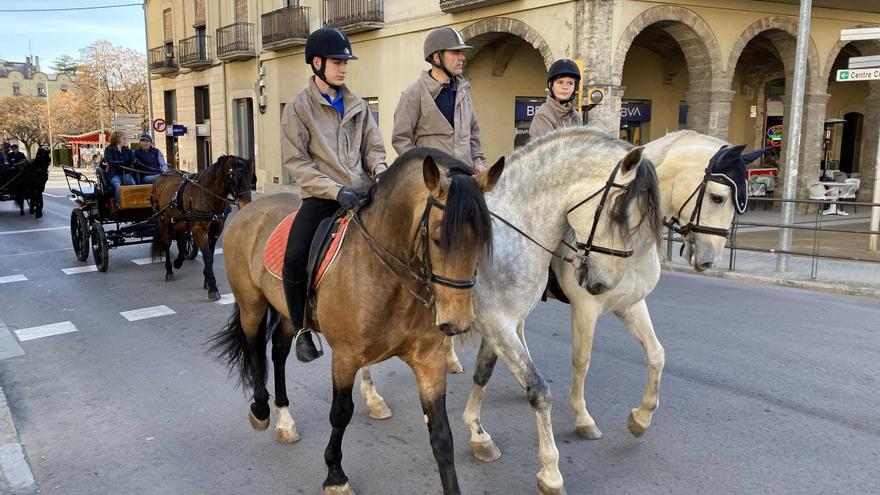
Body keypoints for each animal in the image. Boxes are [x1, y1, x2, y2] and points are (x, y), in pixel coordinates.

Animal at [150, 157, 253, 300]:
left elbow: (211, 255)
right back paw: (169, 271)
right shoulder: (198, 229)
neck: (208, 195)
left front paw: (207, 281)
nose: (247, 204)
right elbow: (207, 256)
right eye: (235, 178)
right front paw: (213, 288)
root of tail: (161, 176)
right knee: (167, 244)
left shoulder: (216, 230)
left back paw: (179, 261)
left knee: (181, 239)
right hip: (163, 222)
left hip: (180, 222)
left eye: (251, 177)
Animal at [210, 150, 506, 495]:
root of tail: (248, 210)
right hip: (252, 305)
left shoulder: (429, 361)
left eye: (484, 238)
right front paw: (335, 475)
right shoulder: (346, 357)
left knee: (279, 352)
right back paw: (261, 410)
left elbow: (441, 435)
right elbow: (341, 413)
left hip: (286, 311)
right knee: (255, 350)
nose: (456, 323)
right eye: (436, 239)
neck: (389, 273)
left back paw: (285, 419)